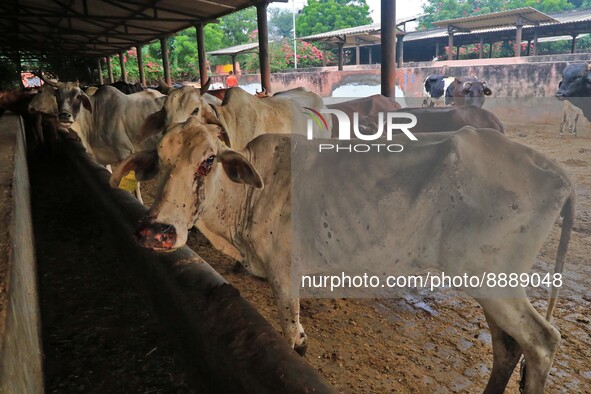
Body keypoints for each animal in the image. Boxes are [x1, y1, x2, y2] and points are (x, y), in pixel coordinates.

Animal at [111, 117, 572, 394]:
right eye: (159, 160)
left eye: (208, 161)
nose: (156, 231)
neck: (248, 198)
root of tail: (558, 173)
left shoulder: (285, 275)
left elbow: (291, 340)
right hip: (489, 284)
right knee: (508, 346)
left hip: (496, 283)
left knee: (542, 341)